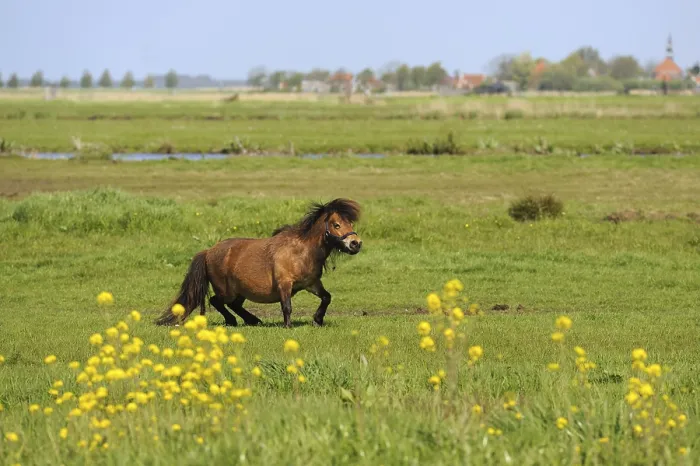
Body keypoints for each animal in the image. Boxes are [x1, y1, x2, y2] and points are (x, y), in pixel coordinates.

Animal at [155, 198, 362, 328]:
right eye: (336, 225)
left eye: (350, 224)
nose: (356, 243)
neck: (302, 252)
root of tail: (208, 251)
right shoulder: (284, 284)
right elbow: (287, 306)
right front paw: (288, 326)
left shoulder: (311, 283)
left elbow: (327, 297)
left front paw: (317, 320)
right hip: (227, 290)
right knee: (217, 301)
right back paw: (235, 321)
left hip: (240, 291)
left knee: (234, 305)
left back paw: (252, 320)